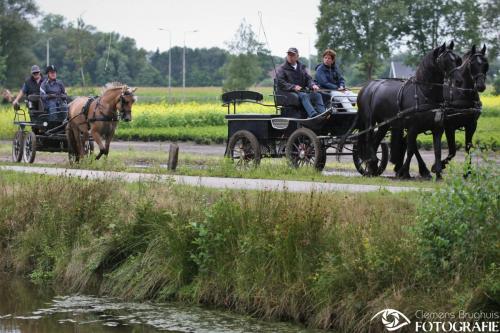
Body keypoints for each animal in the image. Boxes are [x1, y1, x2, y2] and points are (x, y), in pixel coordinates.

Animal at [356, 42, 460, 179]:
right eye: (445, 60)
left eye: (457, 59)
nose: (458, 80)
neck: (424, 93)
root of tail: (366, 87)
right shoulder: (413, 128)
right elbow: (410, 150)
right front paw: (403, 172)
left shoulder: (437, 129)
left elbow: (437, 151)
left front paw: (438, 174)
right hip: (369, 121)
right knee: (368, 140)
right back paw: (370, 163)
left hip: (384, 124)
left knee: (375, 142)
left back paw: (372, 168)